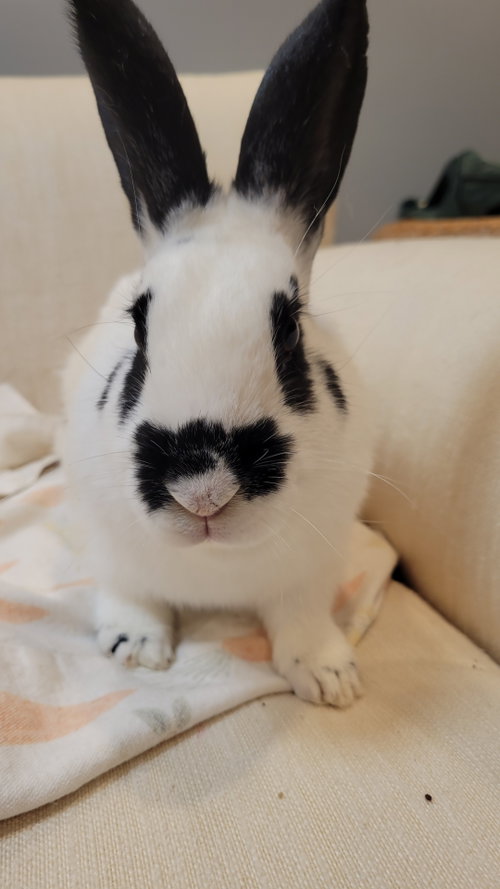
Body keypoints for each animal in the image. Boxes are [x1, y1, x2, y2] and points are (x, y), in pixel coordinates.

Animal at [63, 0, 373, 708]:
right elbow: (131, 595)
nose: (202, 491)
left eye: (290, 331)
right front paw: (137, 650)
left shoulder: (313, 572)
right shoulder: (112, 550)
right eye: (139, 326)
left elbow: (302, 620)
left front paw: (331, 680)